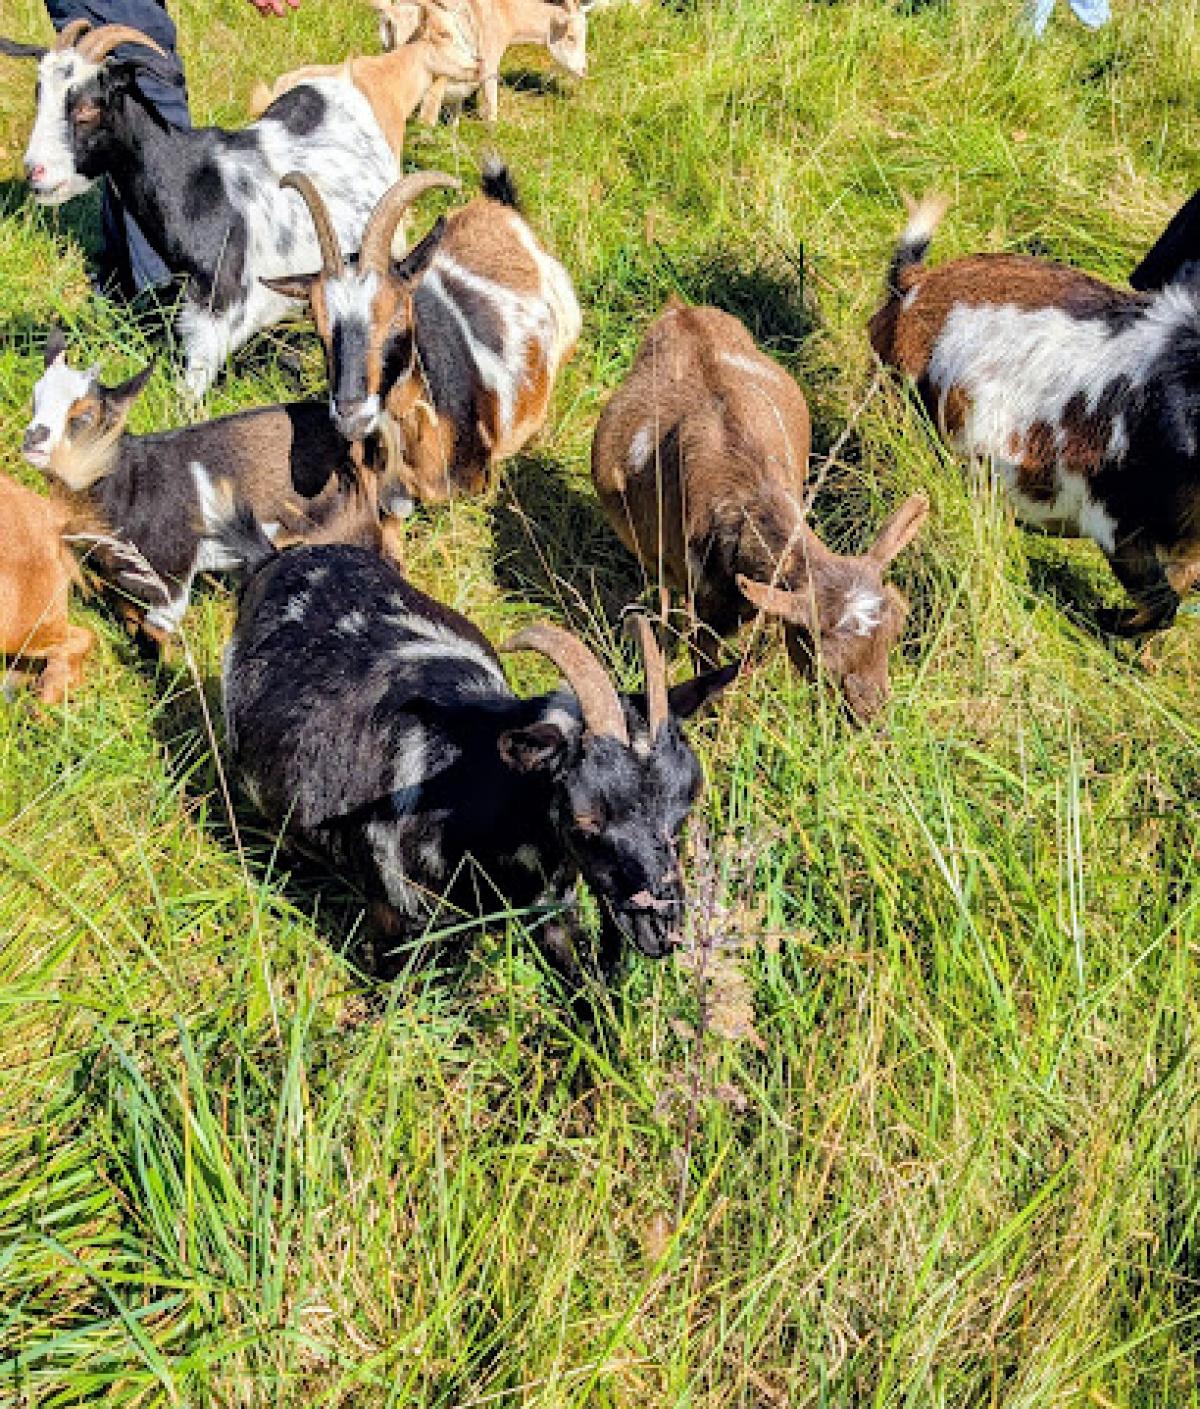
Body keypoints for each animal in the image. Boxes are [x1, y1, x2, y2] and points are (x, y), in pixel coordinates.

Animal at [21, 329, 382, 645]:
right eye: (34, 398)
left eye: (83, 416)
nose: (33, 438)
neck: (129, 486)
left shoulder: (171, 580)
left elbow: (158, 635)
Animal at [220, 512, 736, 975]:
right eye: (584, 818)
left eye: (683, 810)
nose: (661, 930)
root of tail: (274, 558)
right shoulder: (397, 921)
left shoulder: (550, 908)